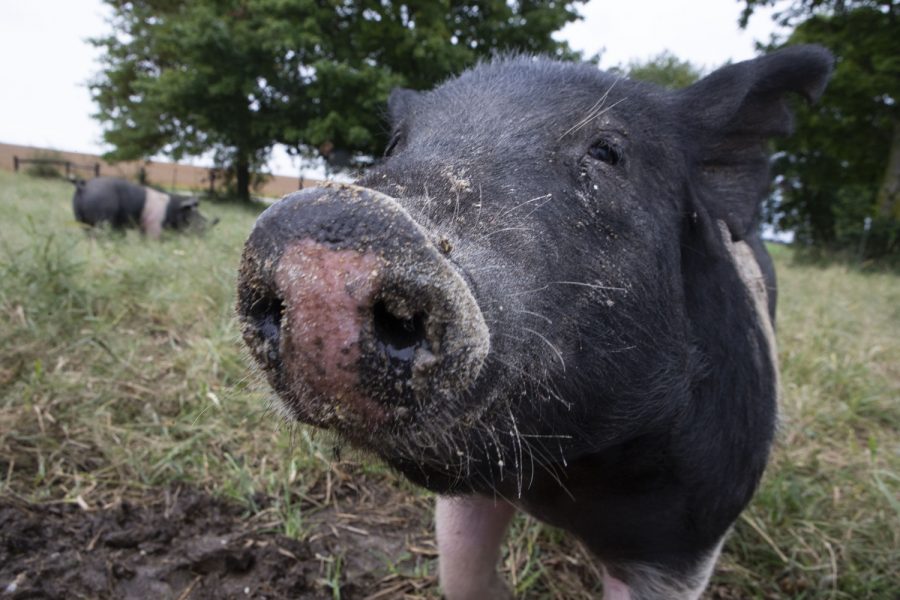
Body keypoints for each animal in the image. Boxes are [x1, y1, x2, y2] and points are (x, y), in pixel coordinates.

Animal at [71, 177, 214, 238]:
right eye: (191, 215)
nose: (204, 233)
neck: (171, 210)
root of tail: (83, 187)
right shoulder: (154, 225)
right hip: (102, 218)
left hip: (80, 219)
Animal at [237, 44, 828, 596]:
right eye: (397, 142)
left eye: (608, 151)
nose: (337, 220)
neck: (560, 475)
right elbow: (463, 574)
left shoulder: (686, 545)